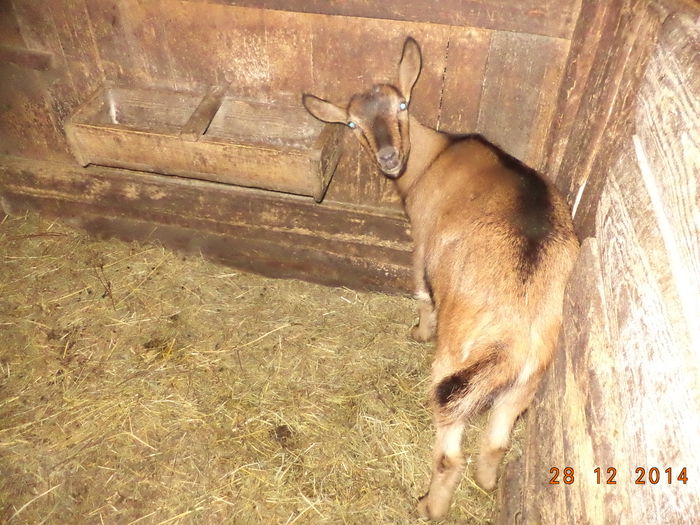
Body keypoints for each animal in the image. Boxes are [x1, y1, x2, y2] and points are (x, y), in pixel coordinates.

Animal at [302, 37, 580, 520]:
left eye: (402, 103)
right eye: (353, 122)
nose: (389, 158)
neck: (434, 156)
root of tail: (516, 337)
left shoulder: (422, 237)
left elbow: (420, 291)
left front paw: (417, 331)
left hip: (456, 368)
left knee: (450, 452)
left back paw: (429, 506)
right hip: (524, 382)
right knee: (497, 440)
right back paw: (487, 483)